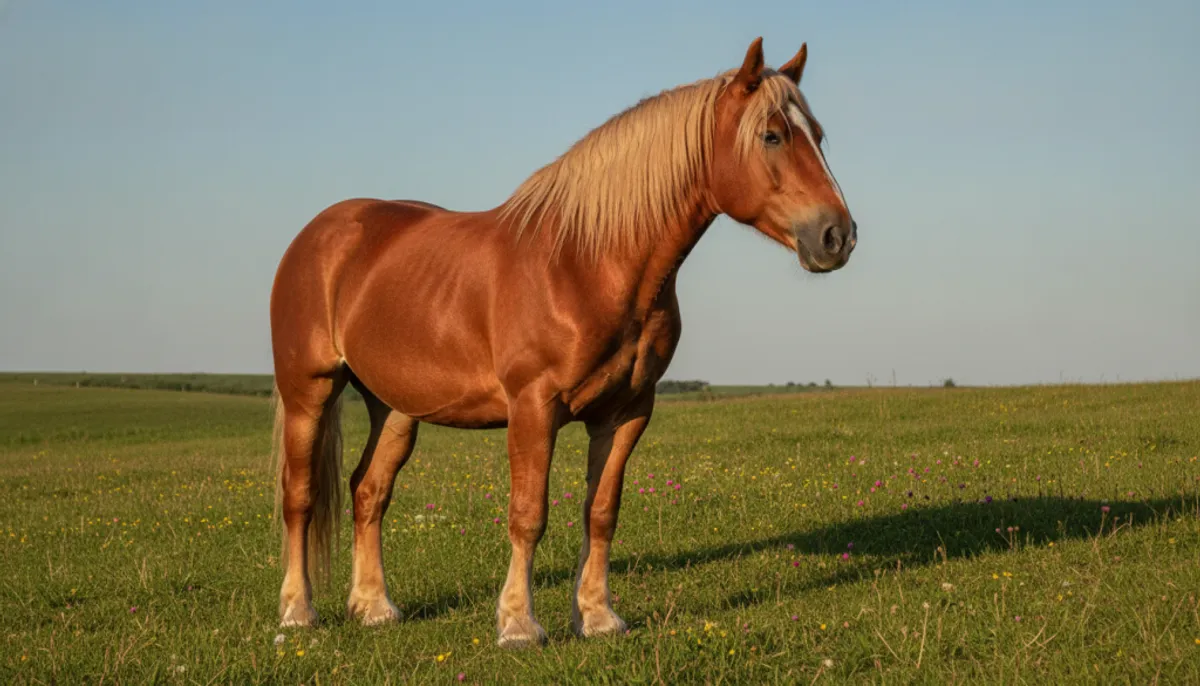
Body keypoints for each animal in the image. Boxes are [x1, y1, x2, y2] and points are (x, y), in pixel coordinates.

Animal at [268, 36, 856, 648]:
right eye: (771, 135)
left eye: (816, 134)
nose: (837, 236)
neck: (586, 263)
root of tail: (322, 233)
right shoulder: (534, 407)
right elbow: (528, 514)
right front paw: (519, 623)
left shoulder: (626, 412)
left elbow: (601, 513)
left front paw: (597, 616)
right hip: (310, 391)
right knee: (299, 496)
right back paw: (297, 611)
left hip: (394, 407)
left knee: (368, 491)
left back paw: (374, 606)